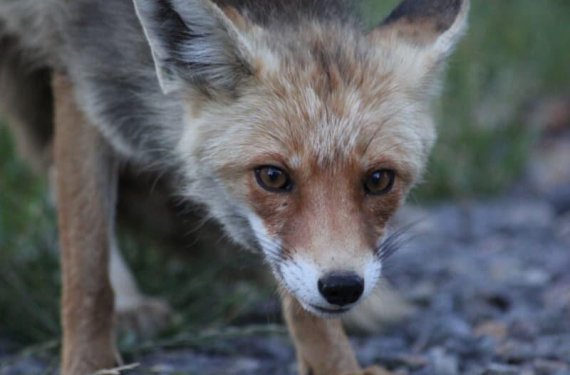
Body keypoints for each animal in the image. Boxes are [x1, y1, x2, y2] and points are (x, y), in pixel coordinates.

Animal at [0, 0, 468, 374]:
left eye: (378, 179)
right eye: (273, 176)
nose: (342, 287)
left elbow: (306, 313)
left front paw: (336, 366)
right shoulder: (77, 65)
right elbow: (87, 265)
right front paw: (90, 365)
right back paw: (129, 304)